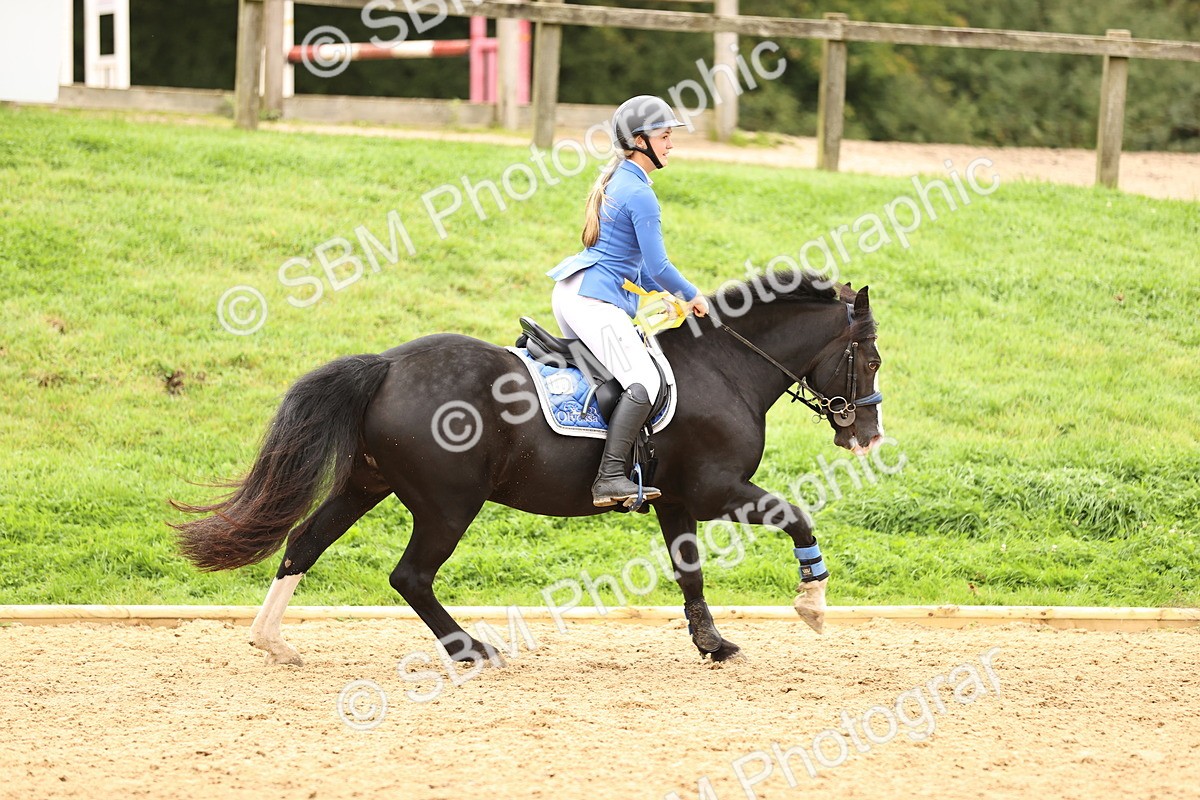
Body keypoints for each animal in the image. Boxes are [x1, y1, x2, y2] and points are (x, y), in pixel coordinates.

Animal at [172, 269, 884, 666]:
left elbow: (690, 572)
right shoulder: (715, 490)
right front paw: (813, 604)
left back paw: (272, 641)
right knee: (411, 576)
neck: (726, 368)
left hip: (367, 484)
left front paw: (712, 644)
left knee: (304, 542)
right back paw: (469, 650)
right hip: (448, 504)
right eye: (872, 360)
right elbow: (797, 515)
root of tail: (389, 365)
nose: (868, 436)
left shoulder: (676, 498)